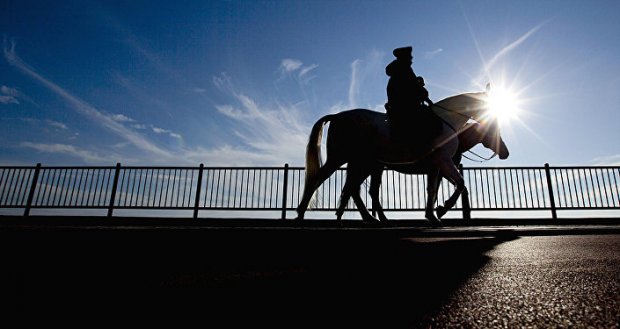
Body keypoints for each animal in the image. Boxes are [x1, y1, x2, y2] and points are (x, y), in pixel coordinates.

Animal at [296, 88, 508, 224]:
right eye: (493, 127)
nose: (505, 153)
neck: (447, 121)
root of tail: (337, 116)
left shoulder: (436, 167)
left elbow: (434, 190)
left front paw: (432, 214)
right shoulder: (444, 162)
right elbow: (460, 184)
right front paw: (442, 209)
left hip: (363, 163)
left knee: (355, 189)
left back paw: (369, 218)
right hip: (341, 158)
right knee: (319, 179)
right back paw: (300, 214)